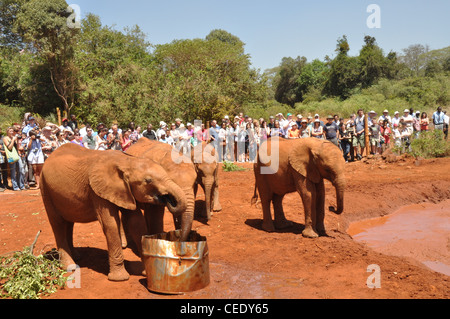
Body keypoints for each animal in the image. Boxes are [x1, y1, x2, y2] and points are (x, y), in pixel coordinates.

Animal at [39, 144, 185, 282]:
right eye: (148, 180)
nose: (168, 199)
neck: (127, 161)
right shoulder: (97, 190)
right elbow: (110, 224)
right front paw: (120, 278)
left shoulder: (125, 190)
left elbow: (136, 223)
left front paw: (146, 272)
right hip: (45, 189)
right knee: (57, 224)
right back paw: (70, 266)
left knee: (69, 223)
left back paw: (76, 257)